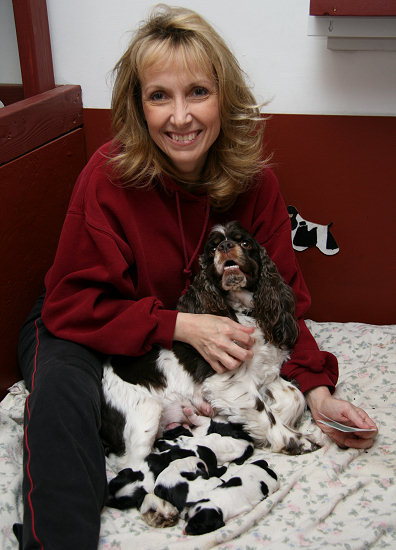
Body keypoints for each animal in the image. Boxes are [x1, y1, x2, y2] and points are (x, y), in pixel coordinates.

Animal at [101, 222, 322, 480]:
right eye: (213, 248)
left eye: (244, 242)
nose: (226, 245)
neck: (244, 311)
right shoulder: (228, 380)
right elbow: (263, 413)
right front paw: (296, 440)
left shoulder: (263, 371)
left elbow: (294, 397)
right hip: (145, 412)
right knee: (130, 463)